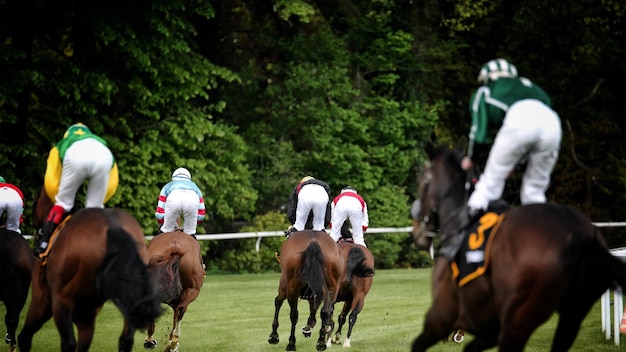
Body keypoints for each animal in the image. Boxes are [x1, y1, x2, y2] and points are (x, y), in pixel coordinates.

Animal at [18, 186, 162, 350]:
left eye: (35, 200)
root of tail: (113, 227)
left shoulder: (44, 300)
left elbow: (26, 337)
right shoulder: (86, 313)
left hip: (61, 301)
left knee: (64, 342)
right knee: (126, 338)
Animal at [410, 144, 626, 350]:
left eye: (422, 181)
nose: (418, 230)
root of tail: (584, 235)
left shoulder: (443, 316)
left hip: (518, 318)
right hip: (569, 315)